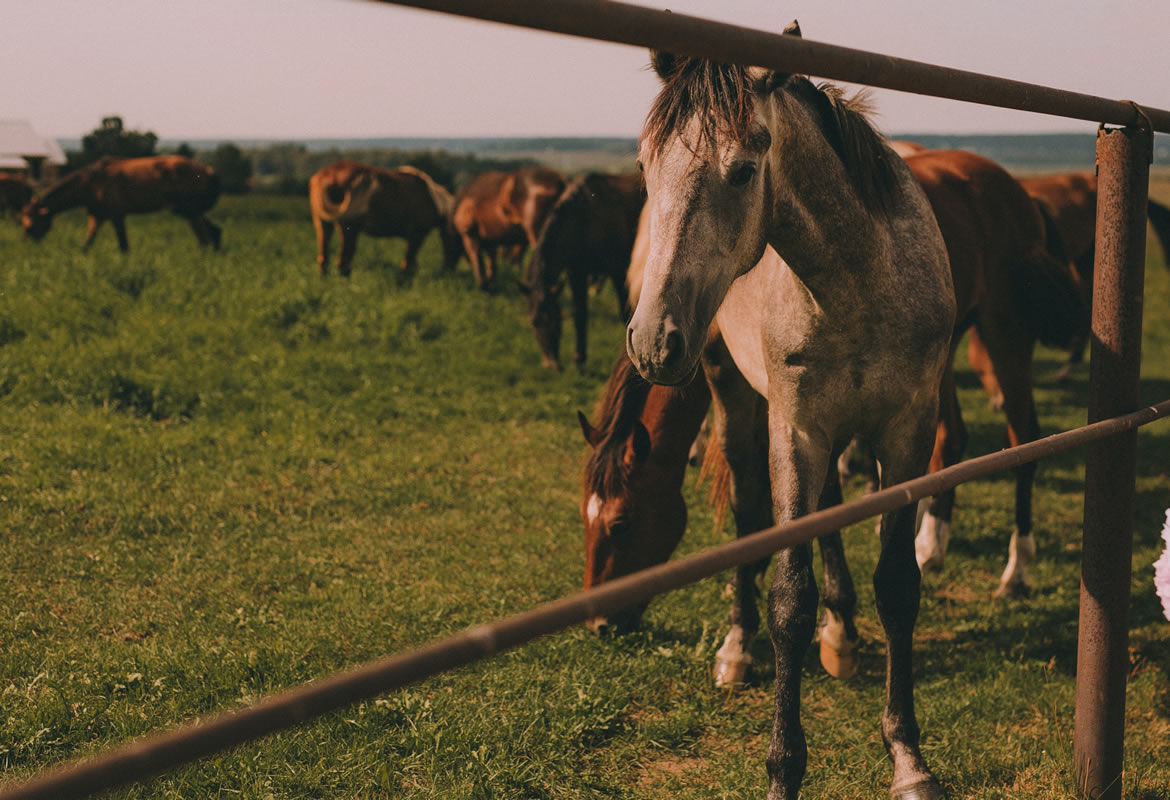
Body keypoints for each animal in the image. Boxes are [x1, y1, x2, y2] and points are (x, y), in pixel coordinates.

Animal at [20, 154, 221, 251]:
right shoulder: (97, 217)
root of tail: (208, 170)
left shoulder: (117, 215)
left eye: (31, 227)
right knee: (214, 231)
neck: (91, 184)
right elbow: (85, 246)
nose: (27, 247)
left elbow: (124, 246)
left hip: (190, 210)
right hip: (189, 211)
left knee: (205, 238)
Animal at [306, 159, 460, 280]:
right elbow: (408, 262)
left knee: (323, 258)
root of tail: (330, 175)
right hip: (348, 229)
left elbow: (411, 262)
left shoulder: (411, 237)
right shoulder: (417, 235)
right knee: (343, 262)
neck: (434, 200)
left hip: (322, 223)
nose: (449, 269)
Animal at [524, 170, 645, 369]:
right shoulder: (577, 274)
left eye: (556, 319)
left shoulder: (618, 272)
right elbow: (580, 314)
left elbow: (625, 313)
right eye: (533, 322)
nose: (551, 364)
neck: (583, 221)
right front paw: (579, 359)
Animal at [627, 24, 954, 799]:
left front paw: (909, 759)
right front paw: (783, 770)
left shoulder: (906, 430)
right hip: (736, 395)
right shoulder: (796, 428)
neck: (861, 281)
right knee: (750, 510)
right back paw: (737, 648)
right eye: (646, 165)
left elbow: (899, 584)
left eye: (744, 170)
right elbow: (788, 599)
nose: (652, 341)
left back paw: (842, 635)